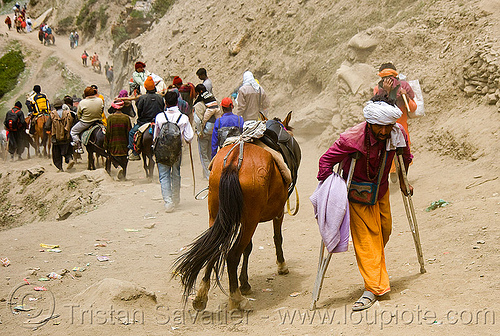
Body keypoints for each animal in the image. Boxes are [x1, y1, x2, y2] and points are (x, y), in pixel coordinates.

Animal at [172, 112, 296, 310]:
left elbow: (248, 248)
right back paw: (236, 298)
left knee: (212, 249)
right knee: (232, 255)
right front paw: (281, 266)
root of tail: (233, 163)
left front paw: (244, 283)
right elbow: (276, 238)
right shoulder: (277, 212)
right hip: (250, 220)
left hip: (217, 215)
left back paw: (201, 296)